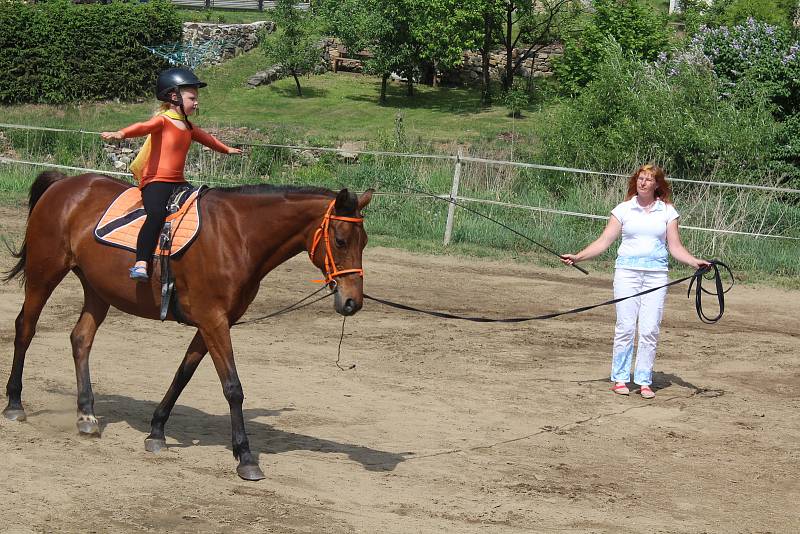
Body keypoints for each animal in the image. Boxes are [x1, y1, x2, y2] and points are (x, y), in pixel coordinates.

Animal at [3, 172, 374, 482]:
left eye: (365, 241)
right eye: (341, 240)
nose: (352, 301)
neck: (238, 235)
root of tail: (65, 183)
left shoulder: (213, 322)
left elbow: (183, 374)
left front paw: (156, 431)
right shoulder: (213, 320)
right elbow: (233, 387)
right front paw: (245, 457)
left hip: (98, 290)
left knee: (81, 339)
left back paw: (86, 415)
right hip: (44, 273)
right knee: (25, 329)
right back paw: (15, 404)